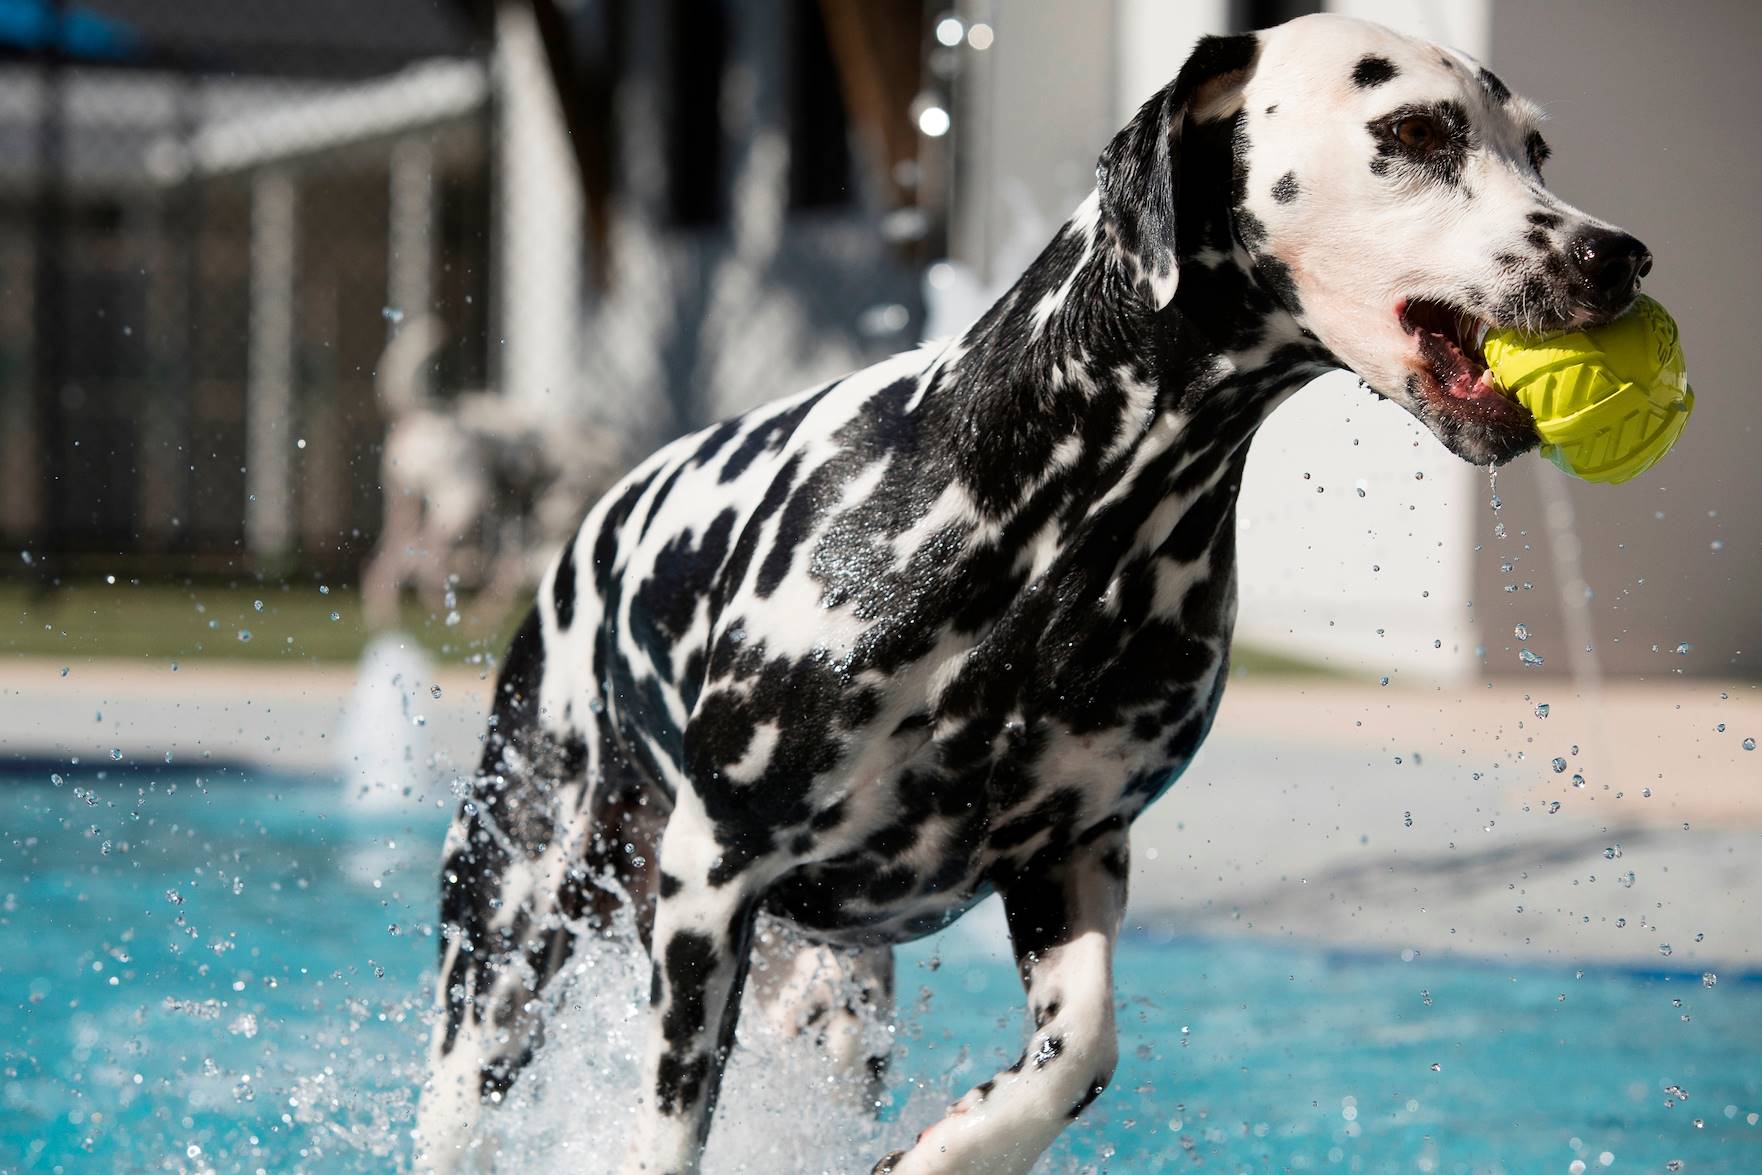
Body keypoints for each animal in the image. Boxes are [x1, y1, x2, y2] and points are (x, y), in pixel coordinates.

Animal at [412, 11, 1649, 1175]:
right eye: (1416, 132)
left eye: (1535, 147)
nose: (1618, 255)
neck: (1060, 532)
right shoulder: (711, 884)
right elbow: (670, 1127)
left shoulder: (1073, 855)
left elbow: (1078, 1049)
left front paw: (952, 1148)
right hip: (505, 947)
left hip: (832, 1003)